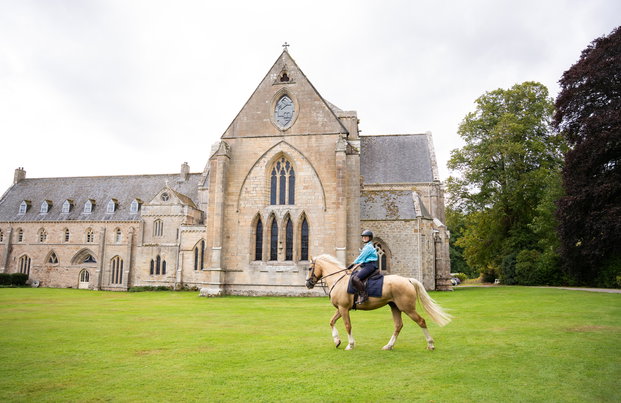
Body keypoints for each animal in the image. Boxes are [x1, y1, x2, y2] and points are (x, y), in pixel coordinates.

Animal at [305, 254, 452, 350]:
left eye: (309, 268)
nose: (308, 284)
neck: (338, 280)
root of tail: (407, 280)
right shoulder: (340, 309)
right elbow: (331, 321)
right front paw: (337, 341)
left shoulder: (344, 308)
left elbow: (348, 326)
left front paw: (350, 345)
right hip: (395, 307)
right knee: (398, 325)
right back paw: (389, 345)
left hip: (407, 308)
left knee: (421, 321)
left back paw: (430, 344)